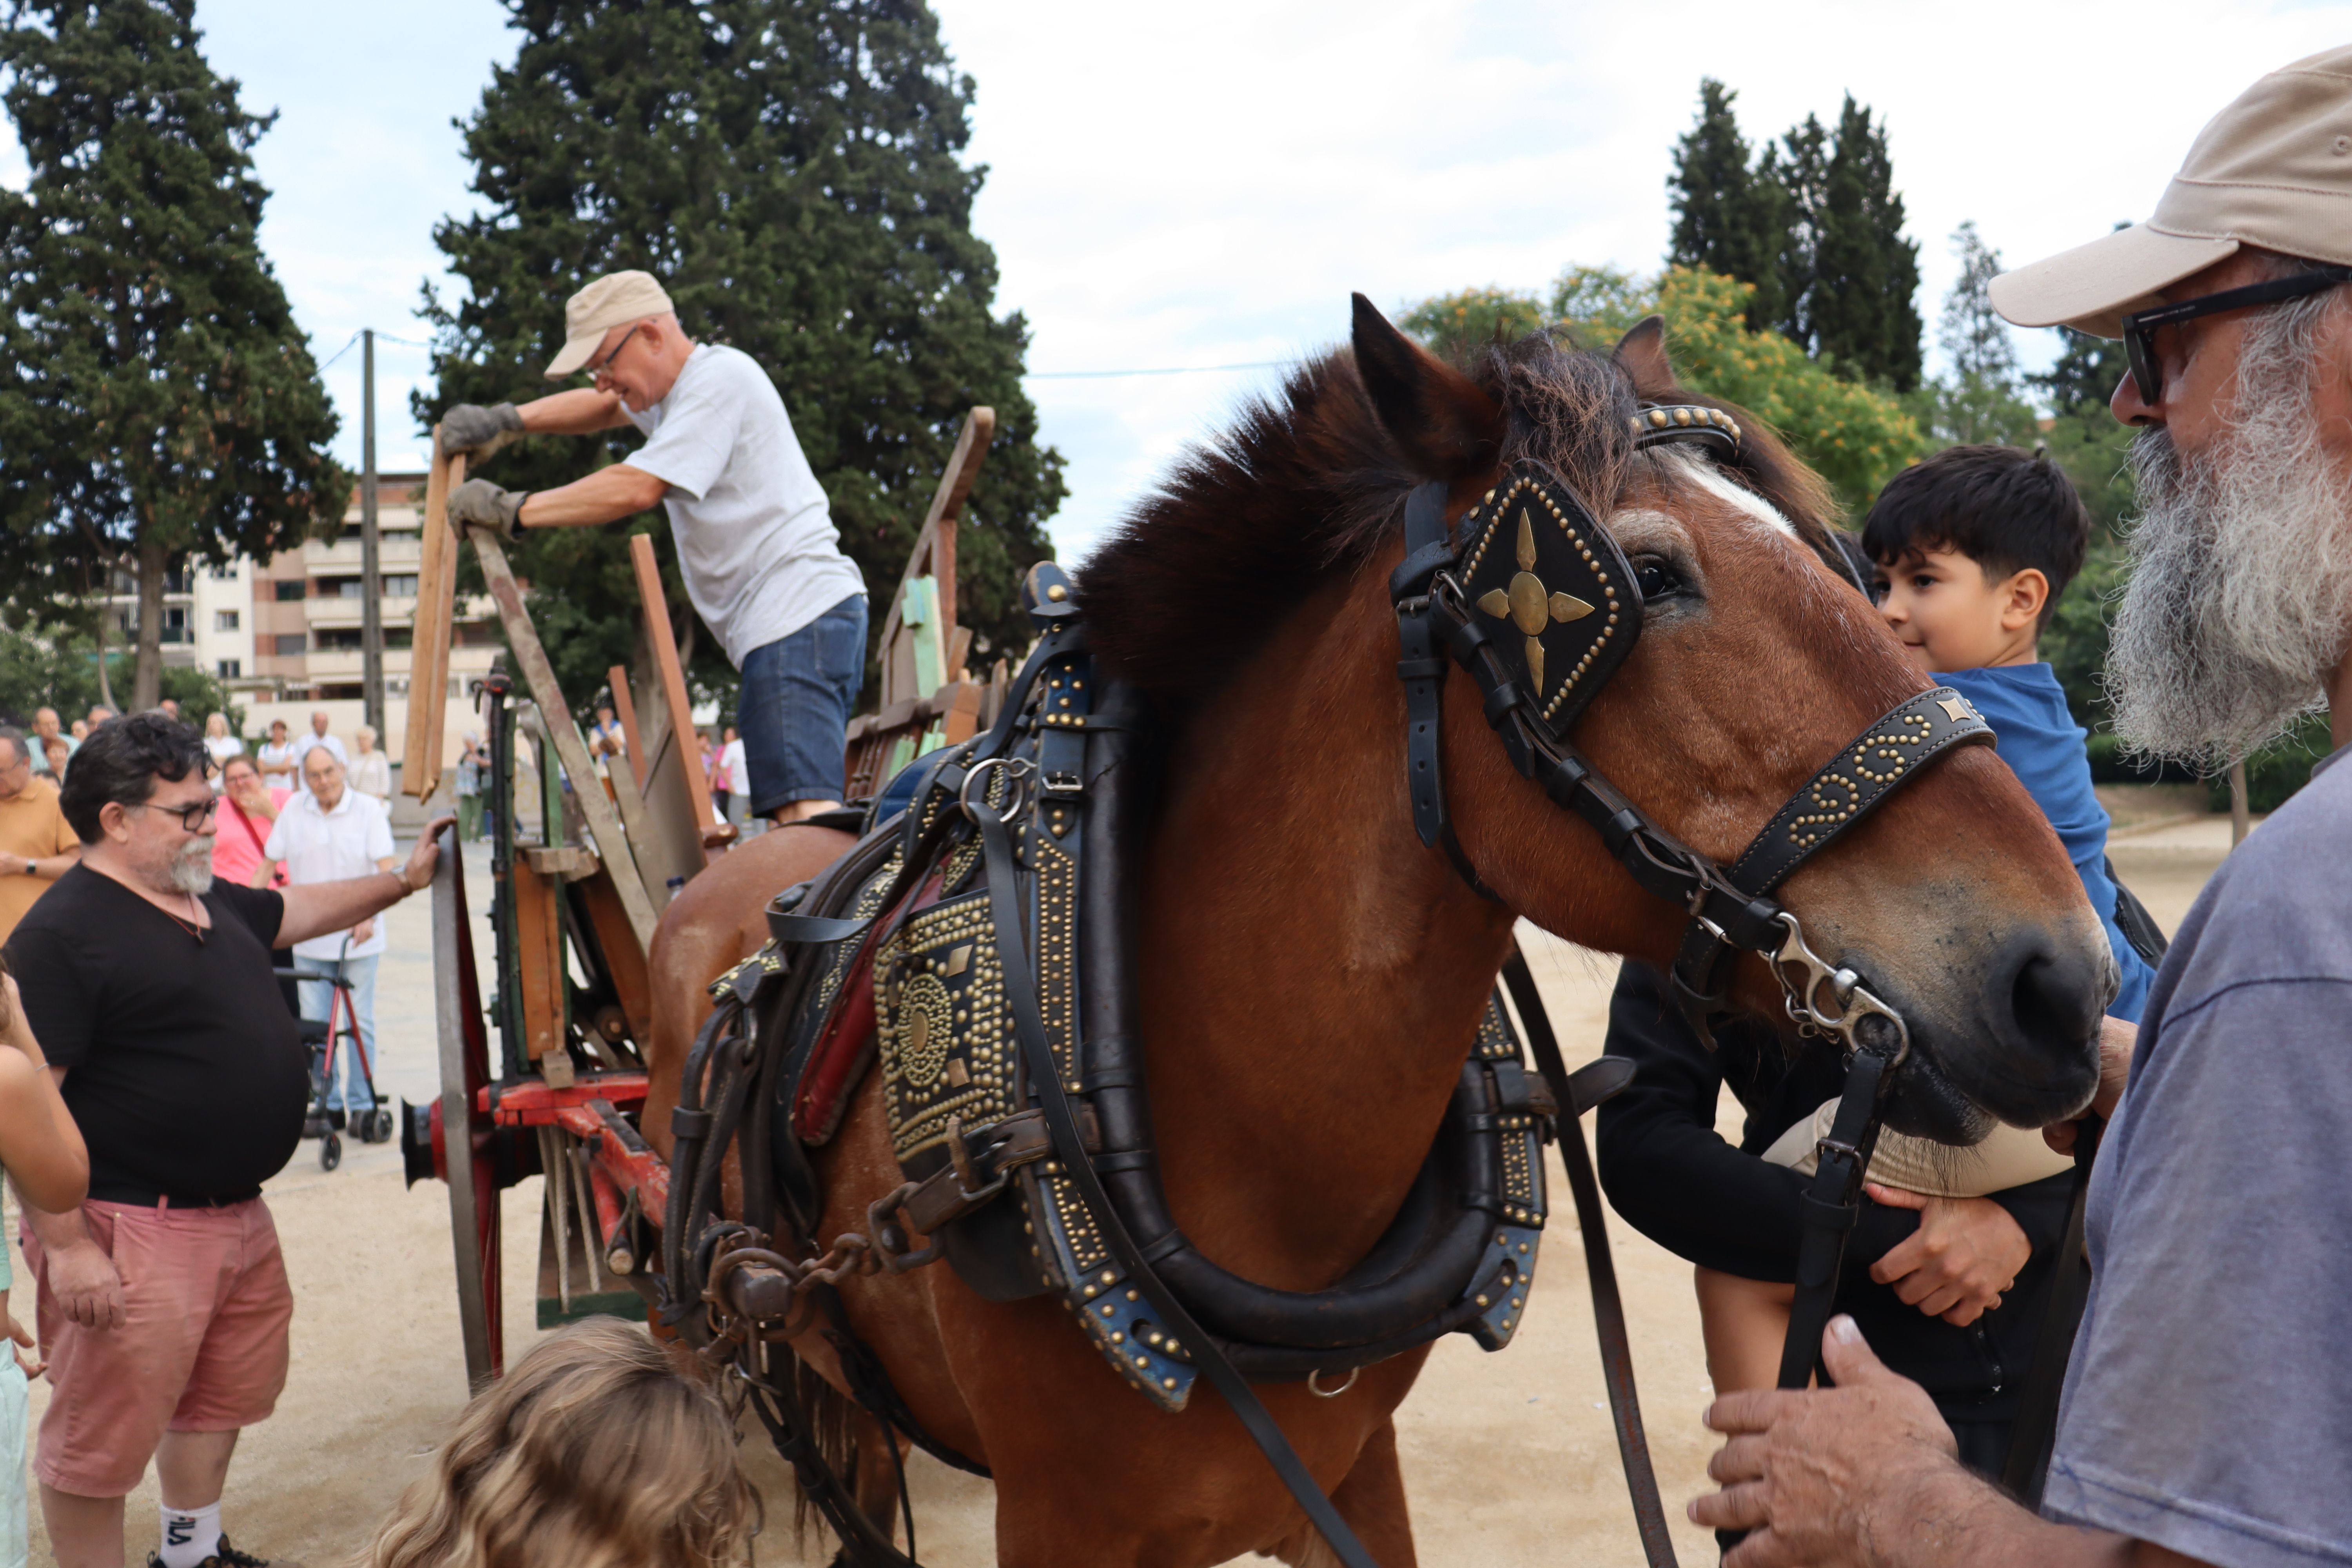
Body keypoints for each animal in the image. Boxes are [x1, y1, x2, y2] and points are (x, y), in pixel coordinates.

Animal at [635, 310, 2107, 1568]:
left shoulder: (1351, 1471)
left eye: (1848, 566)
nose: (2061, 981)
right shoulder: (1058, 1519)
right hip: (691, 1335)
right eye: (1644, 575)